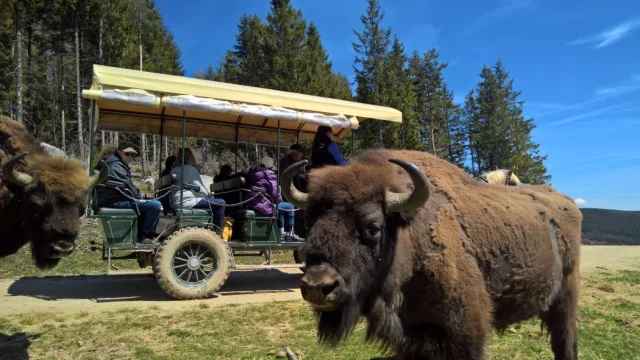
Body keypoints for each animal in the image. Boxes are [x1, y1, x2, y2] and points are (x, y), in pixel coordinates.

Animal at [282, 149, 584, 360]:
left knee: (565, 343)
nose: (317, 286)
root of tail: (567, 203)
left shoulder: (466, 332)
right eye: (309, 220)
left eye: (373, 227)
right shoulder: (411, 336)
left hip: (566, 299)